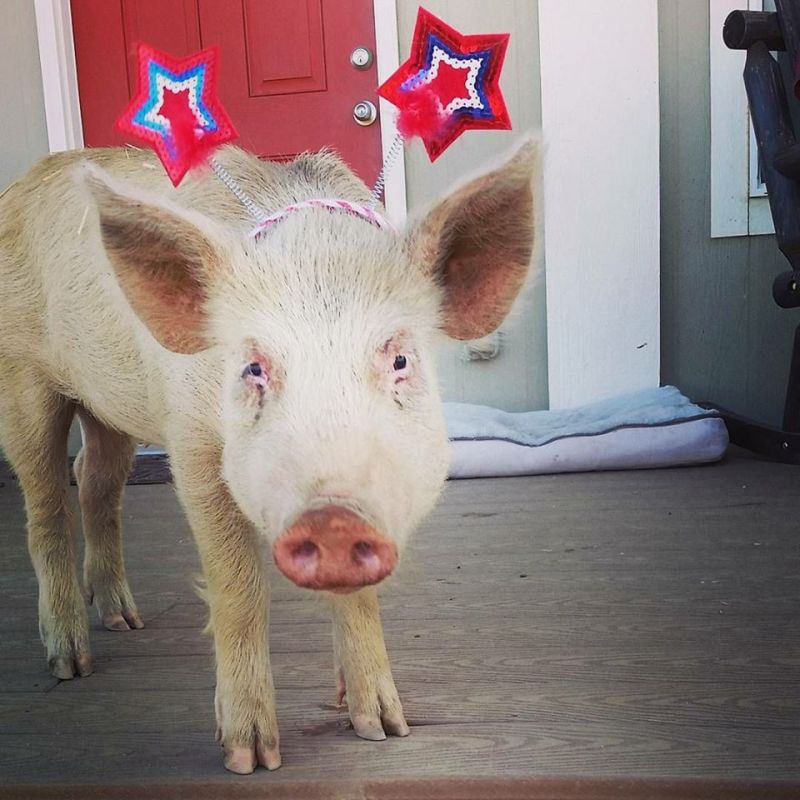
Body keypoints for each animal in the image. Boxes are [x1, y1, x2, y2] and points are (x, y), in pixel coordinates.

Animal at [0, 139, 540, 776]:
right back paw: (71, 664)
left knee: (95, 481)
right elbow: (238, 587)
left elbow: (361, 596)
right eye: (253, 368)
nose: (331, 516)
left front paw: (384, 728)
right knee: (46, 507)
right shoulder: (190, 440)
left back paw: (124, 620)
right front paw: (249, 759)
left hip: (109, 409)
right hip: (22, 377)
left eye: (400, 359)